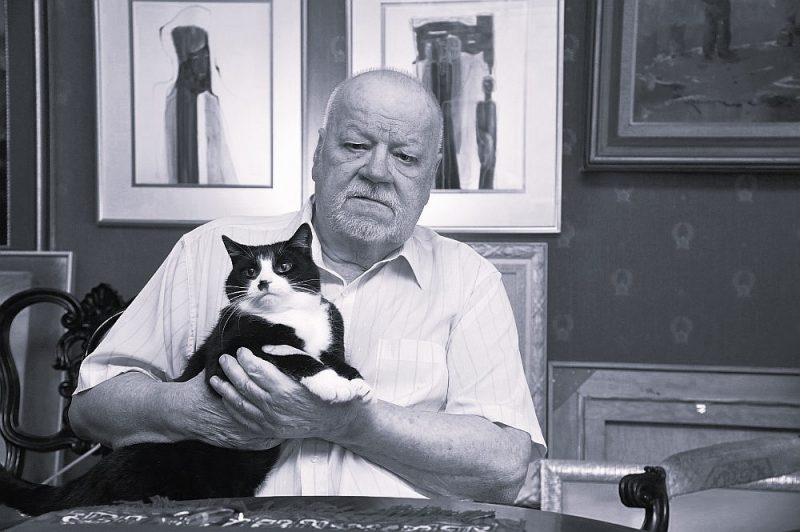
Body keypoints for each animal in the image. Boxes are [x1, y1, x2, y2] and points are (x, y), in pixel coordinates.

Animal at [0, 223, 370, 516]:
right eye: (249, 272)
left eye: (284, 265)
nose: (264, 283)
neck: (290, 317)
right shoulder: (226, 353)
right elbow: (293, 354)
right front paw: (332, 384)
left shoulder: (327, 334)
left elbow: (334, 357)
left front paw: (357, 382)